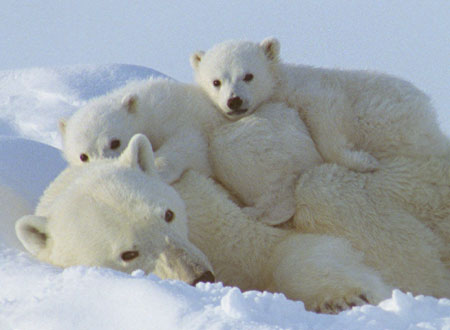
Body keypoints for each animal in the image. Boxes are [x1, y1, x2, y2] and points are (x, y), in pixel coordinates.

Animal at [14, 133, 450, 312]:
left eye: (168, 213)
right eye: (128, 253)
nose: (201, 276)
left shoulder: (211, 208)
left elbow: (284, 248)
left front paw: (345, 296)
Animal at [61, 78, 324, 224]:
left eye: (115, 142)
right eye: (83, 156)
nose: (105, 166)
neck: (145, 108)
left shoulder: (177, 115)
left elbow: (187, 145)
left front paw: (155, 169)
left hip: (270, 135)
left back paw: (259, 212)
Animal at [191, 37, 450, 173]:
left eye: (248, 75)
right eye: (216, 81)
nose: (234, 100)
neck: (282, 85)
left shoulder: (315, 91)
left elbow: (327, 119)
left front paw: (362, 161)